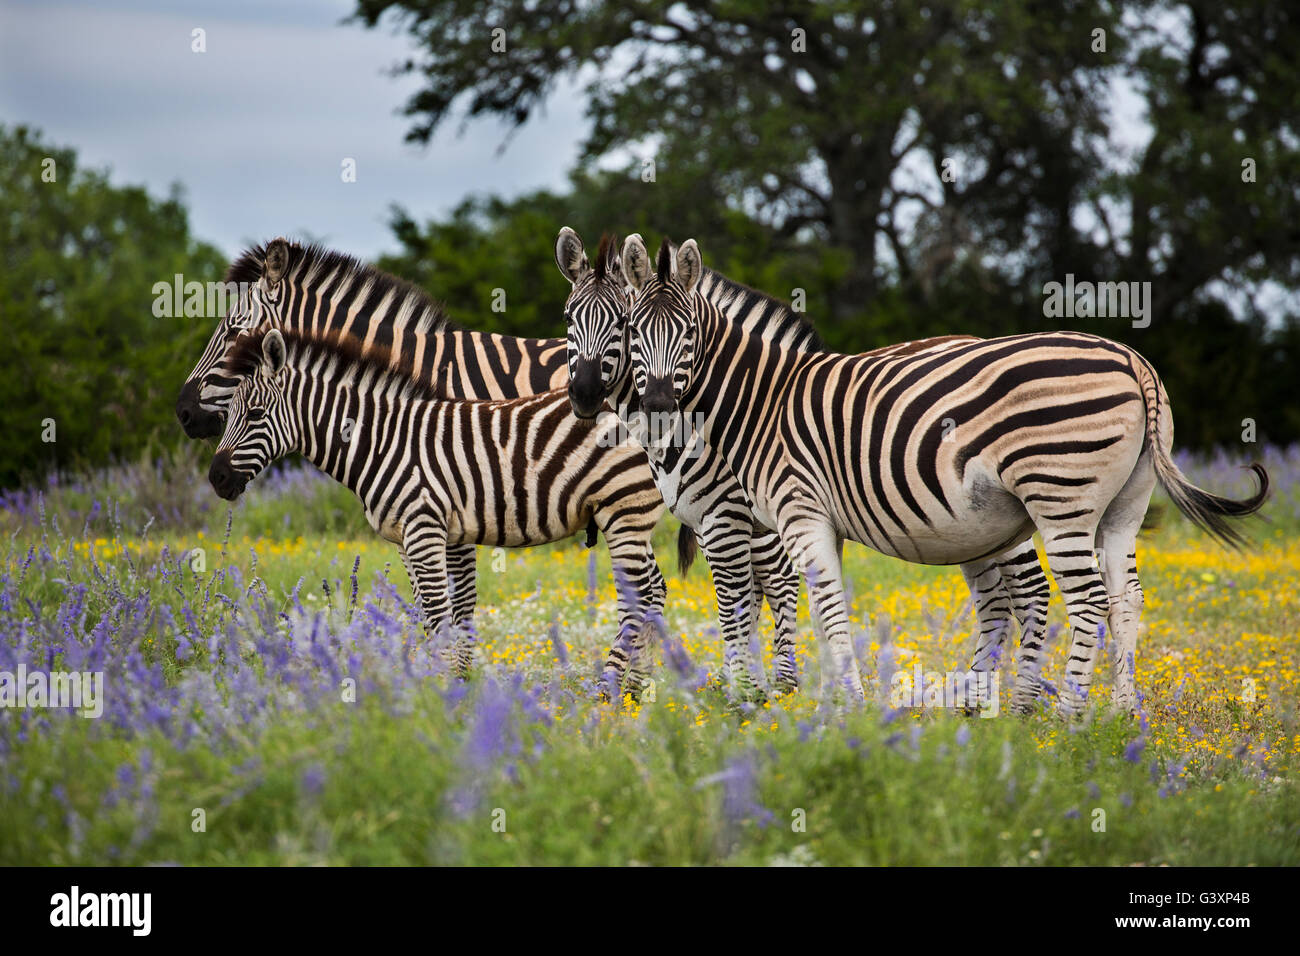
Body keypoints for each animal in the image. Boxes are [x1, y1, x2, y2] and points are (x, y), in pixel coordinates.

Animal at [210, 329, 670, 697]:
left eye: (255, 414)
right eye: (227, 413)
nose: (216, 479)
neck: (380, 441)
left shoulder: (424, 527)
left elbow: (438, 611)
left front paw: (445, 693)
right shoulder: (404, 538)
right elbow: (425, 616)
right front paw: (431, 691)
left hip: (624, 511)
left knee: (636, 601)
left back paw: (607, 695)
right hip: (635, 517)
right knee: (654, 592)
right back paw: (635, 694)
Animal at [559, 227, 1055, 712]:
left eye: (619, 323)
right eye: (568, 319)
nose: (583, 395)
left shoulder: (731, 515)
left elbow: (753, 596)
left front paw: (759, 692)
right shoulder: (720, 520)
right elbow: (757, 597)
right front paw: (757, 689)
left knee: (1029, 590)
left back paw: (1017, 706)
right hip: (969, 528)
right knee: (996, 596)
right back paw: (976, 703)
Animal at [621, 235, 1268, 712]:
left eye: (687, 332)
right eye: (632, 334)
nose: (655, 404)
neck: (762, 399)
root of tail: (1133, 359)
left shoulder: (795, 512)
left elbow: (818, 605)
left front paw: (840, 709)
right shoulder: (803, 519)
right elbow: (812, 609)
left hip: (1061, 499)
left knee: (1086, 601)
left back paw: (1067, 720)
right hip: (1124, 506)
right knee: (1125, 598)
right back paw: (1120, 719)